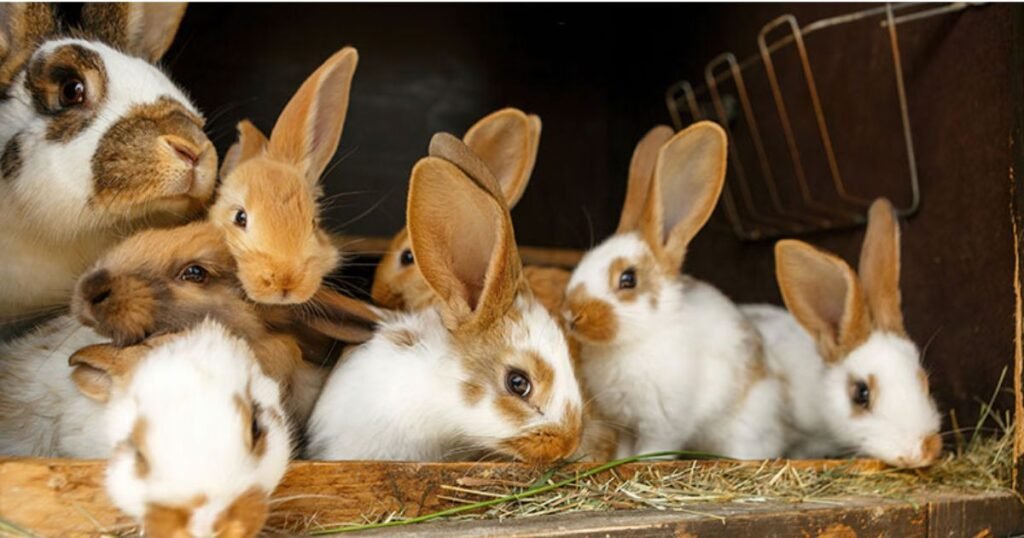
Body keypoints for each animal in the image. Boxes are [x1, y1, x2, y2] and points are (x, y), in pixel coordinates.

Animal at [562, 122, 786, 460]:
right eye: (584, 261)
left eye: (628, 279)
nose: (572, 314)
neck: (636, 339)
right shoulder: (623, 423)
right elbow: (623, 451)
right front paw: (618, 462)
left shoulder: (662, 423)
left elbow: (654, 449)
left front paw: (642, 464)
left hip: (741, 429)